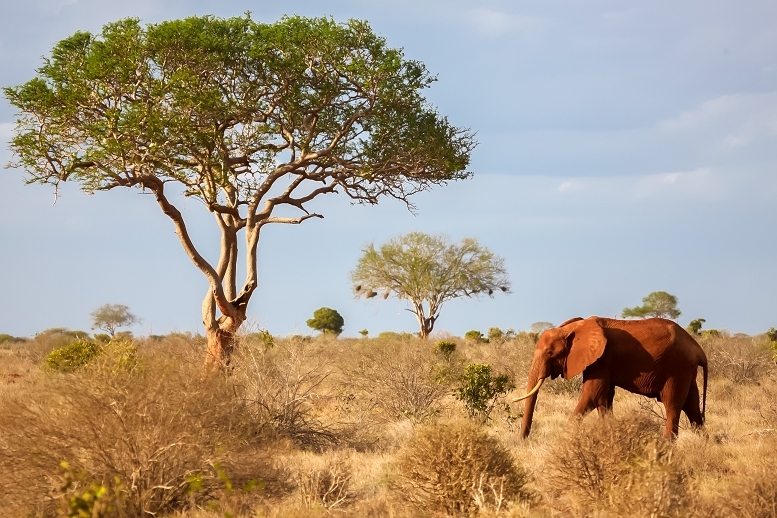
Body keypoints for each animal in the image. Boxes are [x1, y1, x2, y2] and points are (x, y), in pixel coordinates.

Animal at [512, 314, 708, 440]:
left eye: (549, 353)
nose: (523, 440)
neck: (574, 328)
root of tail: (698, 349)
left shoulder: (601, 360)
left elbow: (591, 396)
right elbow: (604, 399)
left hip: (676, 368)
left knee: (672, 404)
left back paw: (667, 444)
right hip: (686, 370)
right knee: (692, 405)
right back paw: (702, 442)